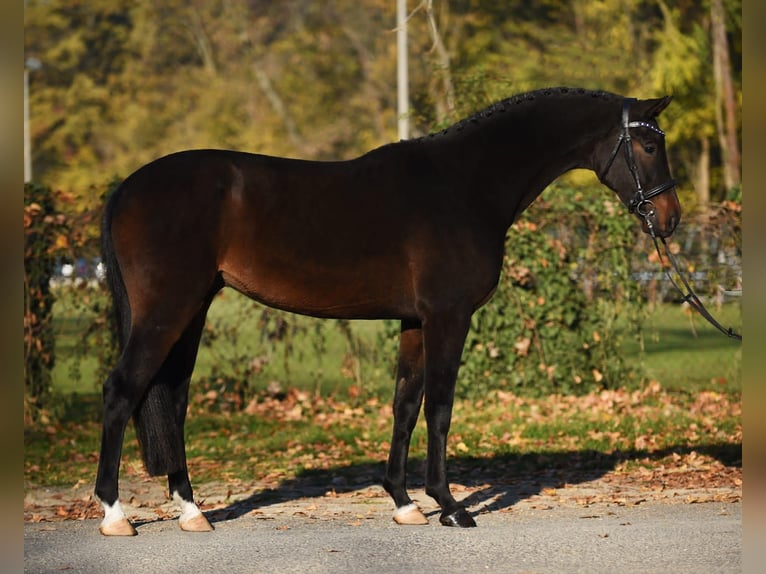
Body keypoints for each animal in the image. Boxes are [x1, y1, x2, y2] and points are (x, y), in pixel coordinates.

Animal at [94, 88, 680, 536]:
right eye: (650, 144)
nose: (670, 218)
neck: (464, 184)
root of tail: (127, 187)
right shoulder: (448, 317)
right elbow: (440, 407)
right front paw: (450, 505)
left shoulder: (416, 322)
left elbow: (405, 403)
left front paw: (405, 503)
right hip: (167, 311)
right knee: (122, 391)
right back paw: (116, 514)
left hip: (191, 312)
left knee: (172, 400)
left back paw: (192, 511)